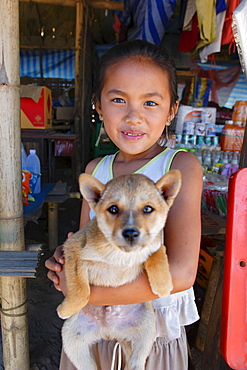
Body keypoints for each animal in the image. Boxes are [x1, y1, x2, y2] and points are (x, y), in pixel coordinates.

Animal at [57, 171, 181, 370]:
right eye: (113, 209)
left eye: (148, 209)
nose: (130, 233)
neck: (120, 255)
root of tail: (110, 332)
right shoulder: (72, 249)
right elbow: (81, 290)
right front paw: (66, 309)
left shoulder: (157, 245)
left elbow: (157, 255)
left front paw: (162, 285)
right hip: (72, 338)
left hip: (146, 331)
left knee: (136, 361)